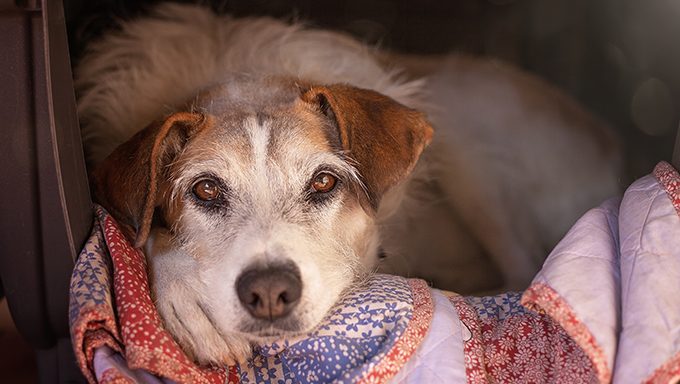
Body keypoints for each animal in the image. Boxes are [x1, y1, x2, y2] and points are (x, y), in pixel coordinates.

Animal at [75, 3, 620, 366]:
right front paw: (185, 295)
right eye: (206, 191)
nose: (269, 292)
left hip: (464, 125)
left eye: (323, 181)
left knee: (524, 266)